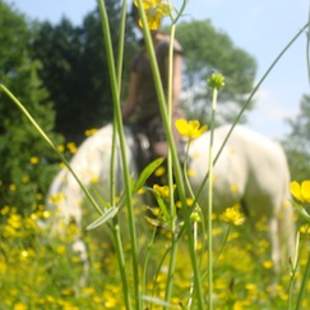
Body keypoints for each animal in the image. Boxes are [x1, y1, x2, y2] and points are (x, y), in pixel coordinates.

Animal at [46, 123, 296, 268]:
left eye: (77, 261)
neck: (102, 168)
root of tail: (275, 147)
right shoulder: (105, 238)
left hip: (265, 214)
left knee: (271, 258)